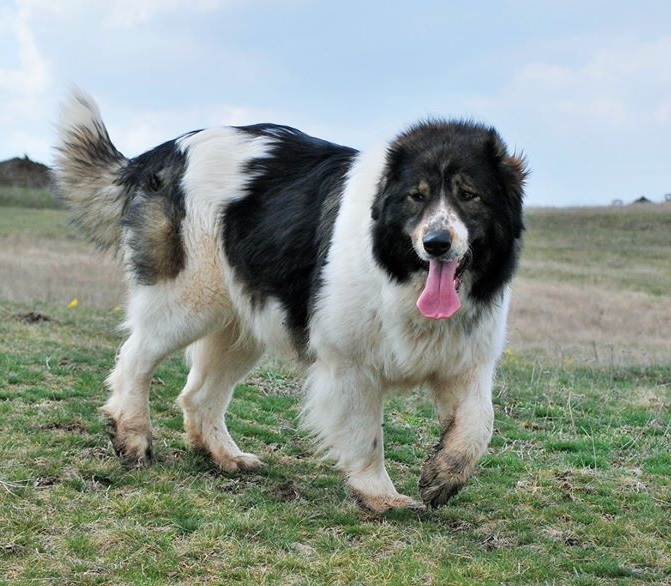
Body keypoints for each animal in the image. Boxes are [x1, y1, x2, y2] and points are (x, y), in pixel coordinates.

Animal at [52, 89, 528, 508]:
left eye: (469, 195)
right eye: (418, 196)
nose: (436, 243)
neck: (396, 273)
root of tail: (165, 151)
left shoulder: (466, 361)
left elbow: (480, 424)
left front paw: (445, 474)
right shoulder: (351, 366)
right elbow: (367, 436)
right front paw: (380, 495)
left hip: (241, 323)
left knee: (199, 394)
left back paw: (224, 456)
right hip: (188, 301)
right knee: (135, 358)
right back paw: (131, 435)